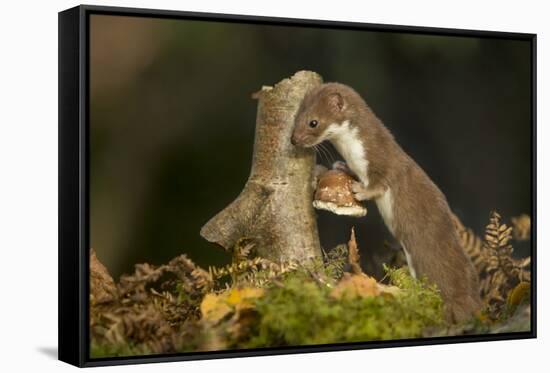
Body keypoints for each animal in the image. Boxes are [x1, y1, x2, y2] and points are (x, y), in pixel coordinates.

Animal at [294, 83, 484, 322]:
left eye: (313, 121)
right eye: (296, 116)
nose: (293, 139)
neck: (353, 153)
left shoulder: (384, 162)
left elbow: (382, 182)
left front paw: (359, 189)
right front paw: (341, 166)